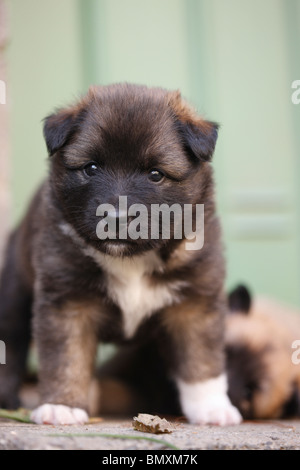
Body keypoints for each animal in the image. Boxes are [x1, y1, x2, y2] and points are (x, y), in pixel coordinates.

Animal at [0, 84, 240, 426]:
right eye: (91, 167)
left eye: (155, 173)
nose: (116, 217)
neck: (132, 259)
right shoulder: (67, 301)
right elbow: (66, 358)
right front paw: (62, 405)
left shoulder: (195, 301)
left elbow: (201, 358)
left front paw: (211, 407)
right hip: (15, 289)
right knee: (11, 341)